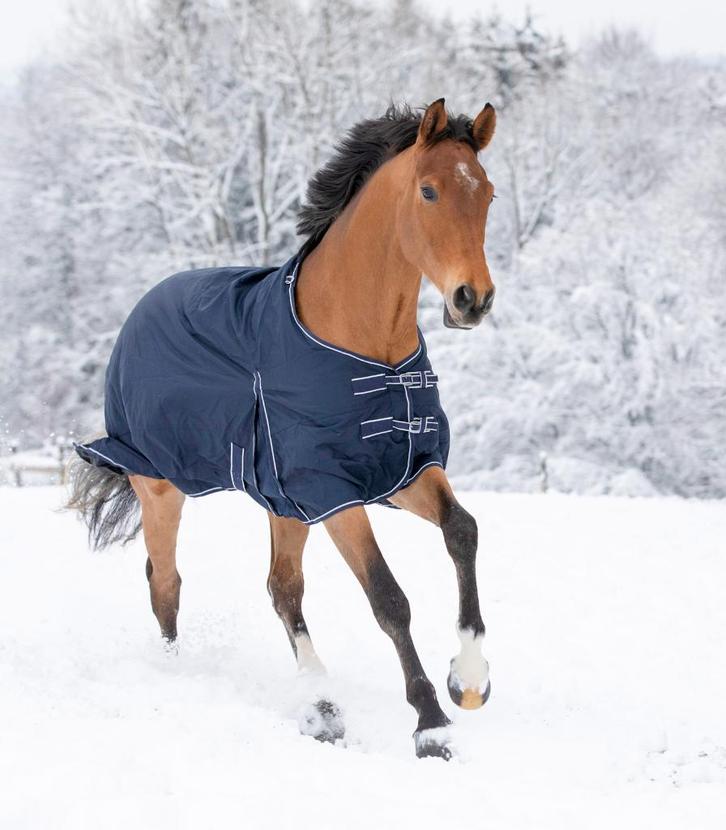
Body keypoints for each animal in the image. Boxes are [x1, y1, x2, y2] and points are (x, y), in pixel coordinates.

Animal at [67, 98, 497, 760]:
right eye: (429, 191)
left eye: (488, 194)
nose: (472, 299)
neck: (366, 344)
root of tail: (142, 307)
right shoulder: (333, 491)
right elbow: (388, 598)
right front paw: (430, 724)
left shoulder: (401, 471)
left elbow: (462, 532)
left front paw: (468, 680)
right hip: (161, 487)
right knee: (165, 582)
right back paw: (184, 676)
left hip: (281, 502)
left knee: (282, 588)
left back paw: (322, 708)